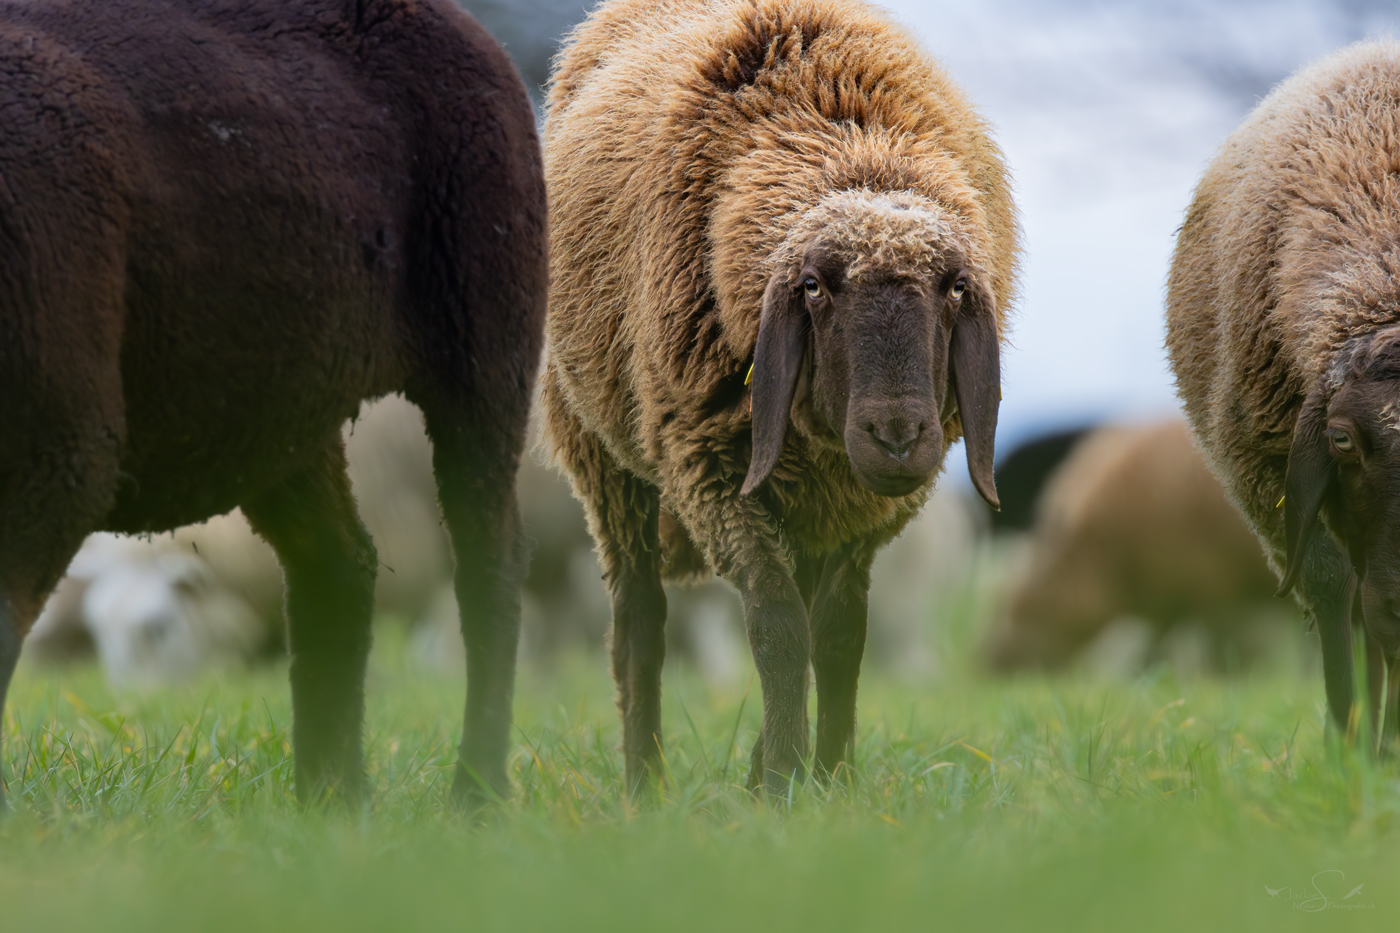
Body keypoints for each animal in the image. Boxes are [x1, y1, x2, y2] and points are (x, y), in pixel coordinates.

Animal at [0, 0, 546, 806]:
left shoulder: (59, 450)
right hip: (281, 400)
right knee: (340, 566)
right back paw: (332, 800)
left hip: (485, 326)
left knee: (491, 569)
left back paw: (475, 792)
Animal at [537, 0, 1019, 790]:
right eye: (814, 286)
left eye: (954, 287)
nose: (897, 436)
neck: (850, 136)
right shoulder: (709, 469)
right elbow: (777, 624)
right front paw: (786, 780)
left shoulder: (862, 509)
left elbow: (841, 635)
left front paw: (826, 777)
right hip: (604, 462)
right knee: (638, 621)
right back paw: (645, 786)